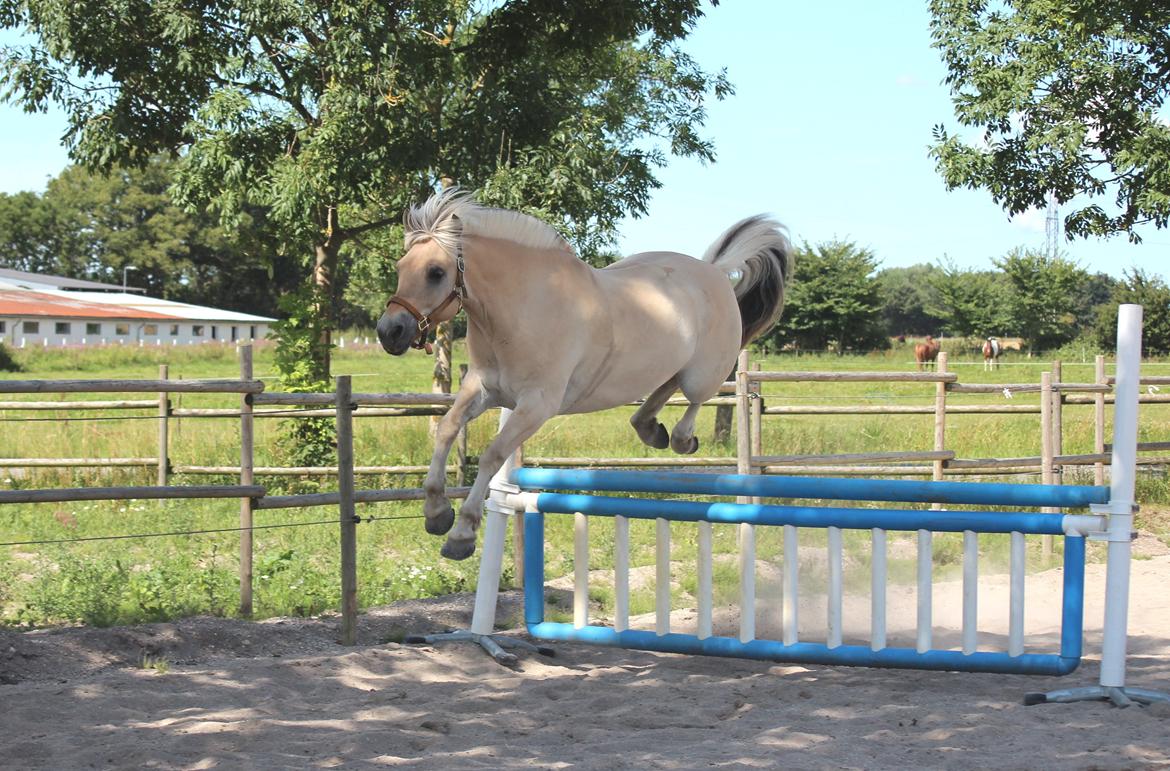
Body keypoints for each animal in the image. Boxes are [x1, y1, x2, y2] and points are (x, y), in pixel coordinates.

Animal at [374, 187, 795, 561]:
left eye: (435, 272)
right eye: (400, 268)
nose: (389, 332)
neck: (522, 306)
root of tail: (713, 271)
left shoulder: (536, 405)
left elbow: (494, 455)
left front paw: (461, 534)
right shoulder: (484, 388)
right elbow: (447, 427)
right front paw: (436, 513)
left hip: (704, 372)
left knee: (693, 399)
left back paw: (678, 438)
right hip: (664, 366)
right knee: (663, 387)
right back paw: (649, 428)